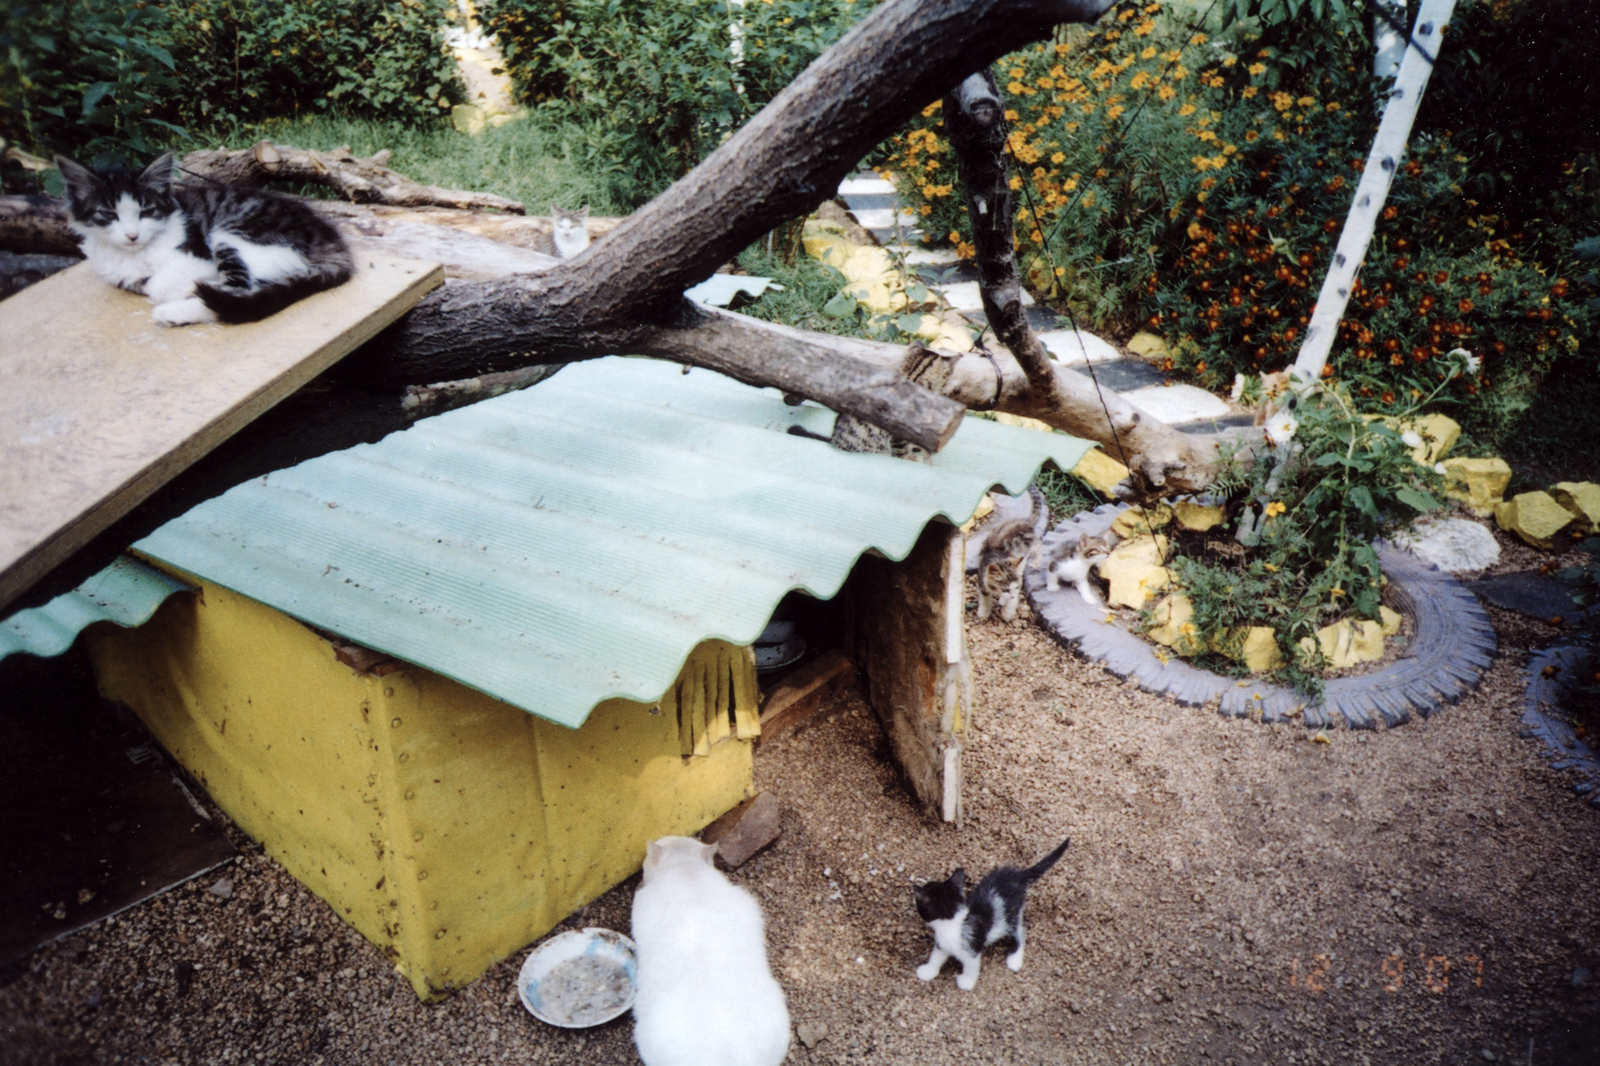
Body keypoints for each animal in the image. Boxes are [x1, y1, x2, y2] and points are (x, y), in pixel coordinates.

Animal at [54, 149, 352, 323]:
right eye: (108, 214)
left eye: (146, 211)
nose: (132, 235)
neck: (139, 253)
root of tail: (329, 238)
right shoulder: (124, 276)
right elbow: (149, 284)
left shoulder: (198, 253)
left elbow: (161, 284)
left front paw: (183, 289)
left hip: (234, 234)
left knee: (236, 292)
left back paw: (173, 311)